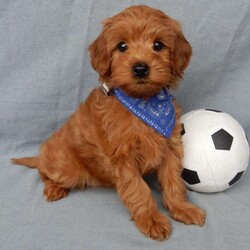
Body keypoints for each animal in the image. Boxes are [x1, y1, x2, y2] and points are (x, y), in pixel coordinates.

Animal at [11, 5, 206, 240]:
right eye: (122, 46)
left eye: (158, 45)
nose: (140, 68)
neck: (144, 104)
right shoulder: (122, 158)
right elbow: (138, 190)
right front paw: (150, 218)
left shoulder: (170, 148)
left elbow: (173, 182)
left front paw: (181, 208)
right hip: (68, 170)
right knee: (44, 173)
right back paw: (53, 187)